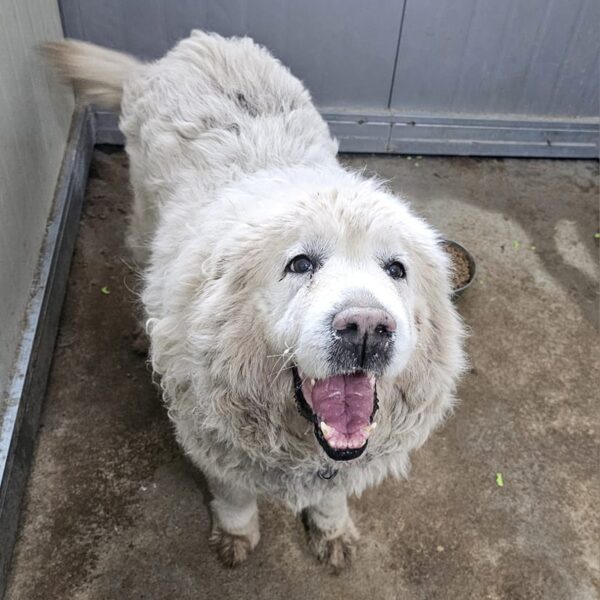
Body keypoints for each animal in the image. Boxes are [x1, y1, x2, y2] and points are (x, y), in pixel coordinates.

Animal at [47, 31, 466, 572]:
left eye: (396, 270)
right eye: (300, 264)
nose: (367, 326)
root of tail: (193, 44)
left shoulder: (340, 466)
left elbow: (332, 497)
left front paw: (331, 530)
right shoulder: (213, 438)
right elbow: (234, 494)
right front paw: (235, 534)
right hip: (142, 217)